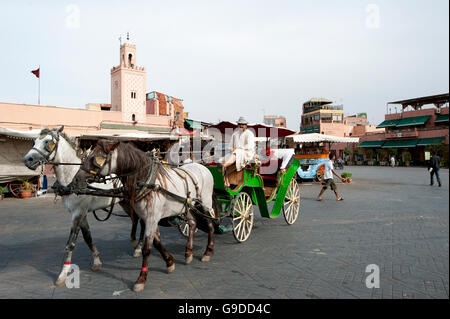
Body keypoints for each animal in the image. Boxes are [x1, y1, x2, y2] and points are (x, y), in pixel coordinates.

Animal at [23, 127, 146, 288]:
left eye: (48, 142)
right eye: (34, 141)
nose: (27, 159)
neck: (72, 178)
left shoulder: (78, 213)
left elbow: (70, 244)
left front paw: (63, 274)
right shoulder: (80, 214)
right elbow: (88, 237)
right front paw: (97, 261)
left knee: (143, 221)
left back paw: (139, 246)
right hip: (125, 202)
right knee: (136, 219)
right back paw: (136, 244)